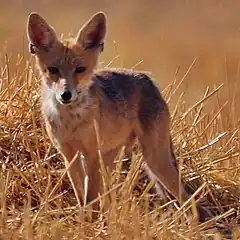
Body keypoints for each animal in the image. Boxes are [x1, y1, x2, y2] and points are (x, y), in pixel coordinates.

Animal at [26, 11, 232, 236]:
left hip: (154, 160)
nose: (66, 95)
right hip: (112, 159)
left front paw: (89, 227)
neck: (71, 121)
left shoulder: (90, 154)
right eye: (53, 69)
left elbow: (90, 199)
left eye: (80, 69)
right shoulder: (68, 154)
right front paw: (85, 223)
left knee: (188, 200)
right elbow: (82, 196)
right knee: (108, 198)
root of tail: (148, 79)